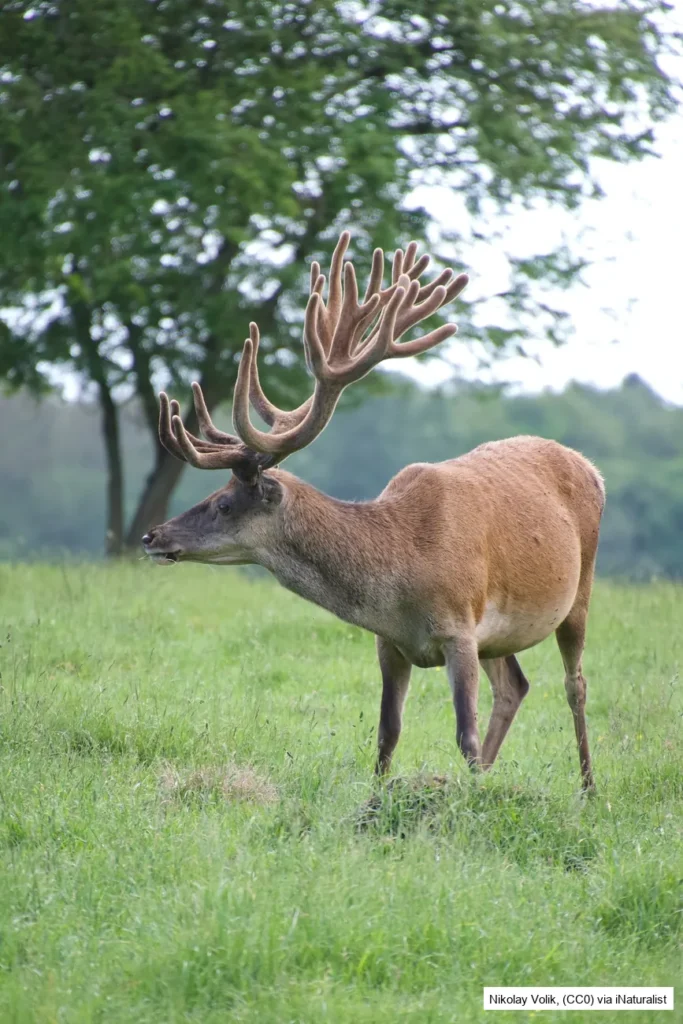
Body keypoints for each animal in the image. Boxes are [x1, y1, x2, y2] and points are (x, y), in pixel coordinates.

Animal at [142, 231, 605, 790]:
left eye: (225, 502)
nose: (152, 536)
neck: (403, 571)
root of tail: (592, 467)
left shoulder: (459, 627)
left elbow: (464, 736)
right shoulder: (391, 642)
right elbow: (387, 735)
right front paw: (381, 797)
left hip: (578, 590)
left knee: (575, 684)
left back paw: (587, 788)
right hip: (499, 635)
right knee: (515, 686)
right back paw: (493, 781)